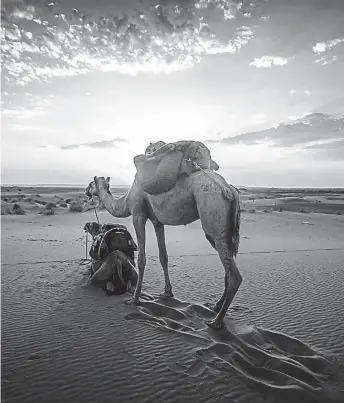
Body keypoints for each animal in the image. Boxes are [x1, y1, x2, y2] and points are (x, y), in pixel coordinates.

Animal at [85, 140, 241, 330]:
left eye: (91, 184)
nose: (86, 190)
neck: (126, 199)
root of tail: (229, 190)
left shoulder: (138, 214)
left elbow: (142, 258)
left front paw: (134, 300)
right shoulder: (157, 221)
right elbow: (163, 256)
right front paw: (167, 293)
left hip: (213, 214)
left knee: (234, 275)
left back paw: (216, 321)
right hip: (225, 230)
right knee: (228, 264)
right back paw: (216, 306)